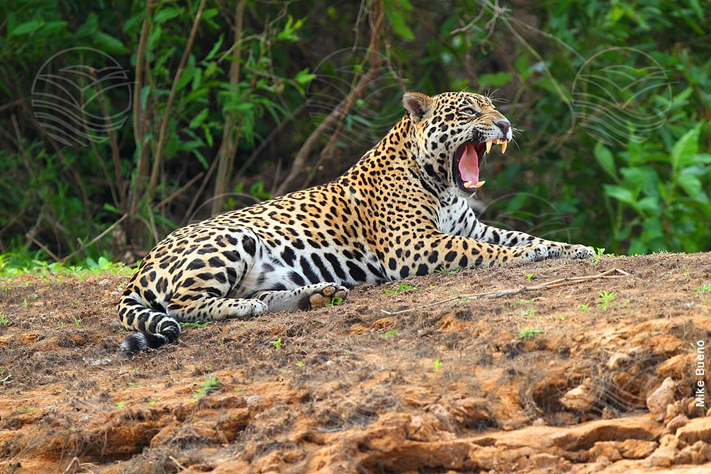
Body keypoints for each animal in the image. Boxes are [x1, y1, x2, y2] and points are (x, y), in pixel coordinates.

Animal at [118, 90, 594, 352]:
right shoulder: (414, 244)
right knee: (181, 305)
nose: (506, 125)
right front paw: (532, 253)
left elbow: (514, 234)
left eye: (494, 108)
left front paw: (572, 248)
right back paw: (245, 306)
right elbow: (485, 250)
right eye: (468, 113)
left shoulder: (470, 226)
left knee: (259, 295)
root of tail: (142, 265)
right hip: (233, 238)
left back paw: (315, 295)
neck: (442, 183)